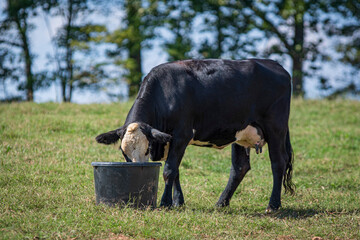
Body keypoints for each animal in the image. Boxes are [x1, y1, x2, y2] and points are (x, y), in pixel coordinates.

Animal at [95, 59, 296, 213]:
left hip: (276, 127)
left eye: (147, 149)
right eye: (124, 153)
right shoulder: (169, 140)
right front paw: (178, 202)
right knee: (240, 167)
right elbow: (175, 171)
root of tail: (275, 65)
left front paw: (165, 203)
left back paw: (273, 205)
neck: (165, 94)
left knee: (278, 162)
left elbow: (169, 170)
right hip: (241, 133)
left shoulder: (181, 136)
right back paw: (221, 203)